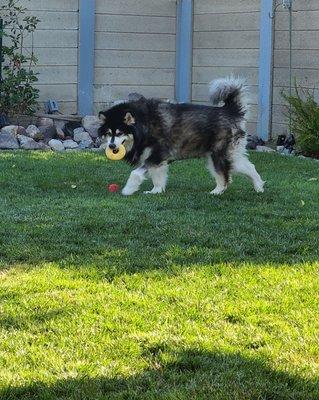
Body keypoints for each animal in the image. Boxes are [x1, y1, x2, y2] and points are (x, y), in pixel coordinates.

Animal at [99, 76, 266, 195]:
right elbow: (157, 176)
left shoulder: (157, 154)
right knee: (247, 167)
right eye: (109, 133)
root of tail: (229, 110)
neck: (145, 124)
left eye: (120, 133)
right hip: (222, 155)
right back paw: (258, 187)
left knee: (226, 176)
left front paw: (128, 189)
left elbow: (136, 173)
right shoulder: (156, 159)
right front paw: (156, 191)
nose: (111, 146)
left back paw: (217, 192)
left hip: (219, 154)